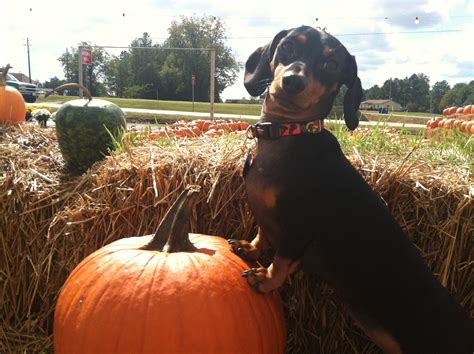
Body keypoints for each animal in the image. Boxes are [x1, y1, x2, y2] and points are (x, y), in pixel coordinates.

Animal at [228, 25, 472, 354]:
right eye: (288, 47)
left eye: (332, 65)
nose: (293, 81)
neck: (287, 136)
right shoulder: (267, 216)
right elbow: (263, 234)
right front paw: (251, 249)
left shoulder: (298, 228)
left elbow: (281, 261)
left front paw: (265, 279)